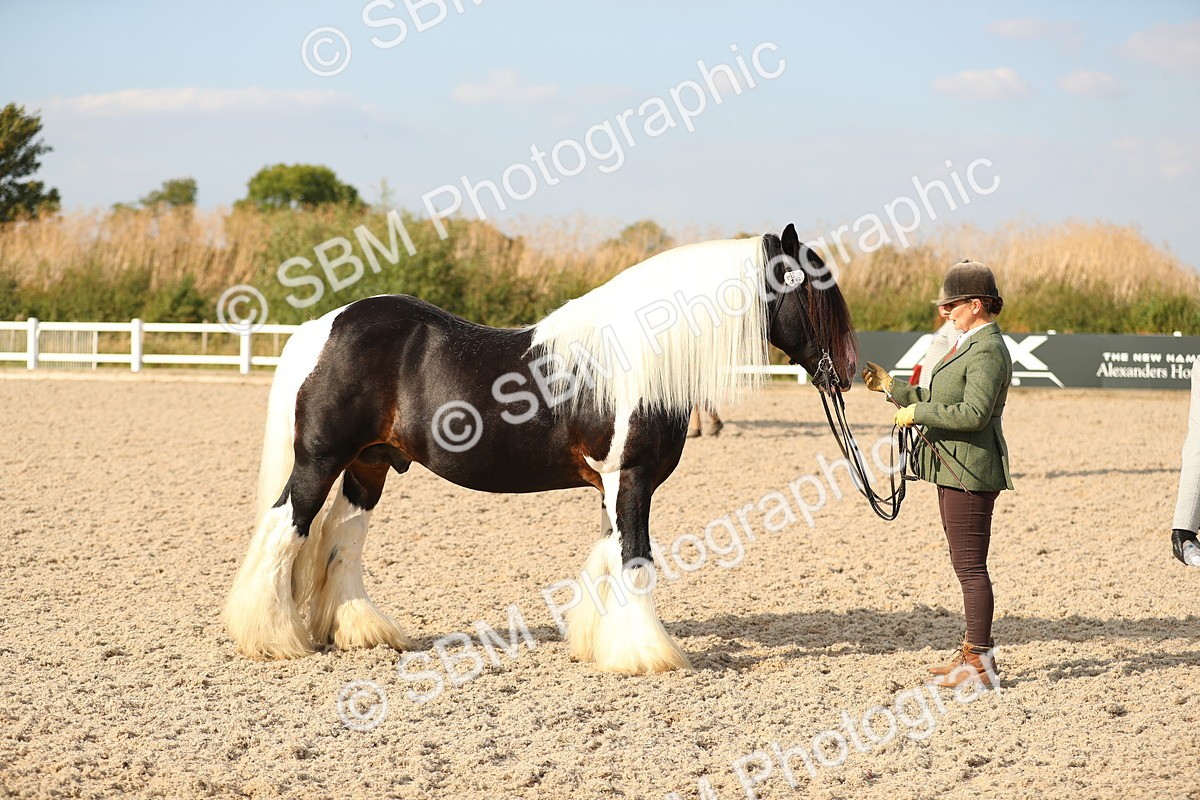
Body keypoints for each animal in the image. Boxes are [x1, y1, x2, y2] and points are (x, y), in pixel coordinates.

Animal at [221, 223, 858, 674]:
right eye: (818, 296)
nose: (850, 373)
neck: (639, 357)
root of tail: (321, 328)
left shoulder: (612, 484)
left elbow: (608, 556)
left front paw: (599, 644)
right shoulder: (630, 477)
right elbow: (636, 559)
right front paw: (646, 655)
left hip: (368, 466)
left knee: (341, 541)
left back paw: (360, 632)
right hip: (321, 461)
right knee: (286, 527)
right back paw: (268, 638)